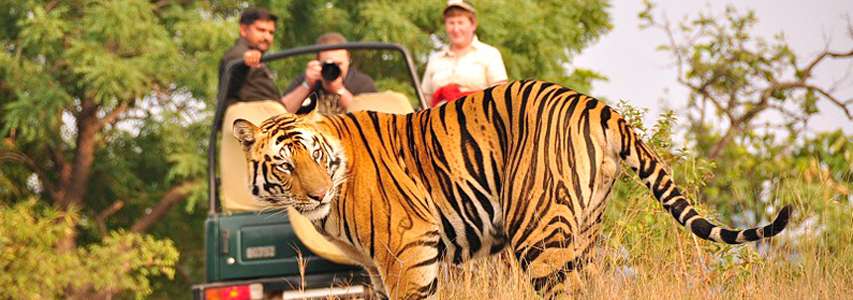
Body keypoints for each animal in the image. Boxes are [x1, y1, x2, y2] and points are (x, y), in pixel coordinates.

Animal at [230, 79, 788, 300]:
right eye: (284, 165)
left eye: (313, 155)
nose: (317, 194)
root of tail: (597, 105)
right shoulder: (378, 266)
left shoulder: (408, 250)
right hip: (585, 231)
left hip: (539, 234)